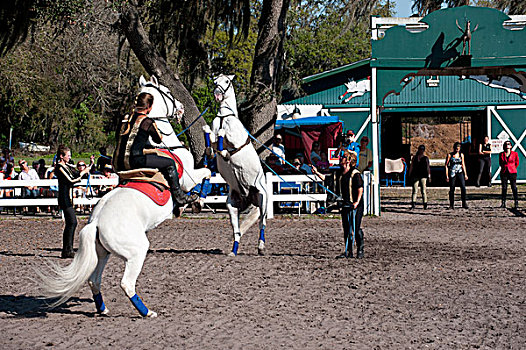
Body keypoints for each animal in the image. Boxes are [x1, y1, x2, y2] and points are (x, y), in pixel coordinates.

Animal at [35, 76, 212, 318]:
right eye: (167, 91)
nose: (181, 108)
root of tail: (96, 223)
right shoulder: (188, 178)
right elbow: (206, 173)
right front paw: (194, 201)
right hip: (136, 251)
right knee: (126, 283)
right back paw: (147, 312)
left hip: (102, 254)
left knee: (94, 280)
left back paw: (103, 309)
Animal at [202, 73, 268, 258]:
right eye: (215, 81)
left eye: (227, 81)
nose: (217, 94)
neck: (225, 117)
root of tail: (248, 197)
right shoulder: (212, 143)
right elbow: (210, 139)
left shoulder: (234, 139)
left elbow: (222, 139)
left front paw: (225, 152)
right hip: (232, 205)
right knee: (237, 230)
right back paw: (233, 251)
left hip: (263, 201)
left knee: (262, 223)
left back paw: (261, 247)